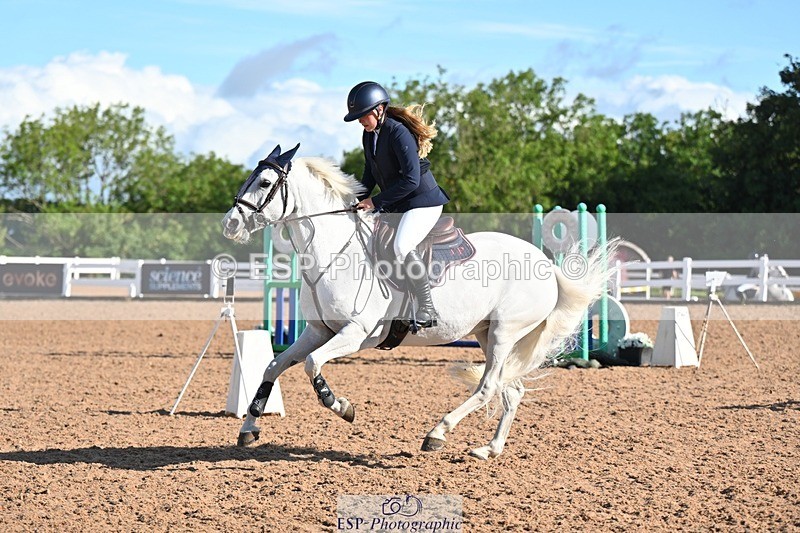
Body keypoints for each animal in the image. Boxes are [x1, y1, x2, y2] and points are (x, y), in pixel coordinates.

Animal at [222, 144, 613, 459]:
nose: (230, 224)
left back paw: (437, 433)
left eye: (265, 183)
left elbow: (312, 364)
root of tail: (546, 263)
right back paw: (488, 449)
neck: (333, 253)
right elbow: (273, 367)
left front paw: (342, 407)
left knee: (488, 388)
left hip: (505, 332)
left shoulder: (356, 334)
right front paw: (249, 429)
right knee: (511, 390)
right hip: (486, 334)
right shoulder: (318, 331)